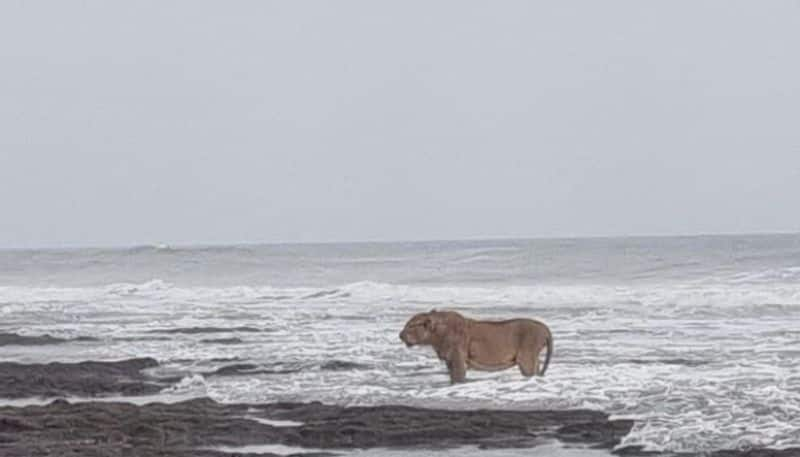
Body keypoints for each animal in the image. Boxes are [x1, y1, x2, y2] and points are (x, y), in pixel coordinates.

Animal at [398, 308, 552, 382]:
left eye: (410, 325)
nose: (400, 335)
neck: (435, 336)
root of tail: (544, 327)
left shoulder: (457, 358)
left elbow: (458, 378)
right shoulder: (449, 360)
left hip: (526, 359)